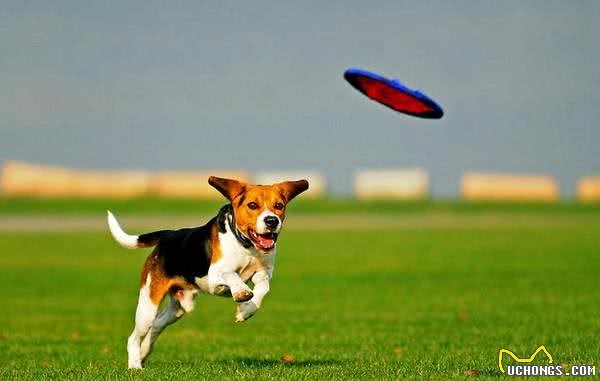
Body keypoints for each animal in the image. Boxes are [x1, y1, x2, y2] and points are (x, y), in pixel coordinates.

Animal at [106, 176, 310, 368]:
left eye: (279, 206)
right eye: (253, 205)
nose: (272, 220)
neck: (246, 245)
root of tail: (168, 235)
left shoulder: (264, 272)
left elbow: (263, 287)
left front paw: (246, 310)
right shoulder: (214, 277)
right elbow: (231, 274)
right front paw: (242, 293)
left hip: (177, 309)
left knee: (156, 326)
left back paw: (144, 353)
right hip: (148, 305)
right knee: (134, 337)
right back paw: (135, 365)